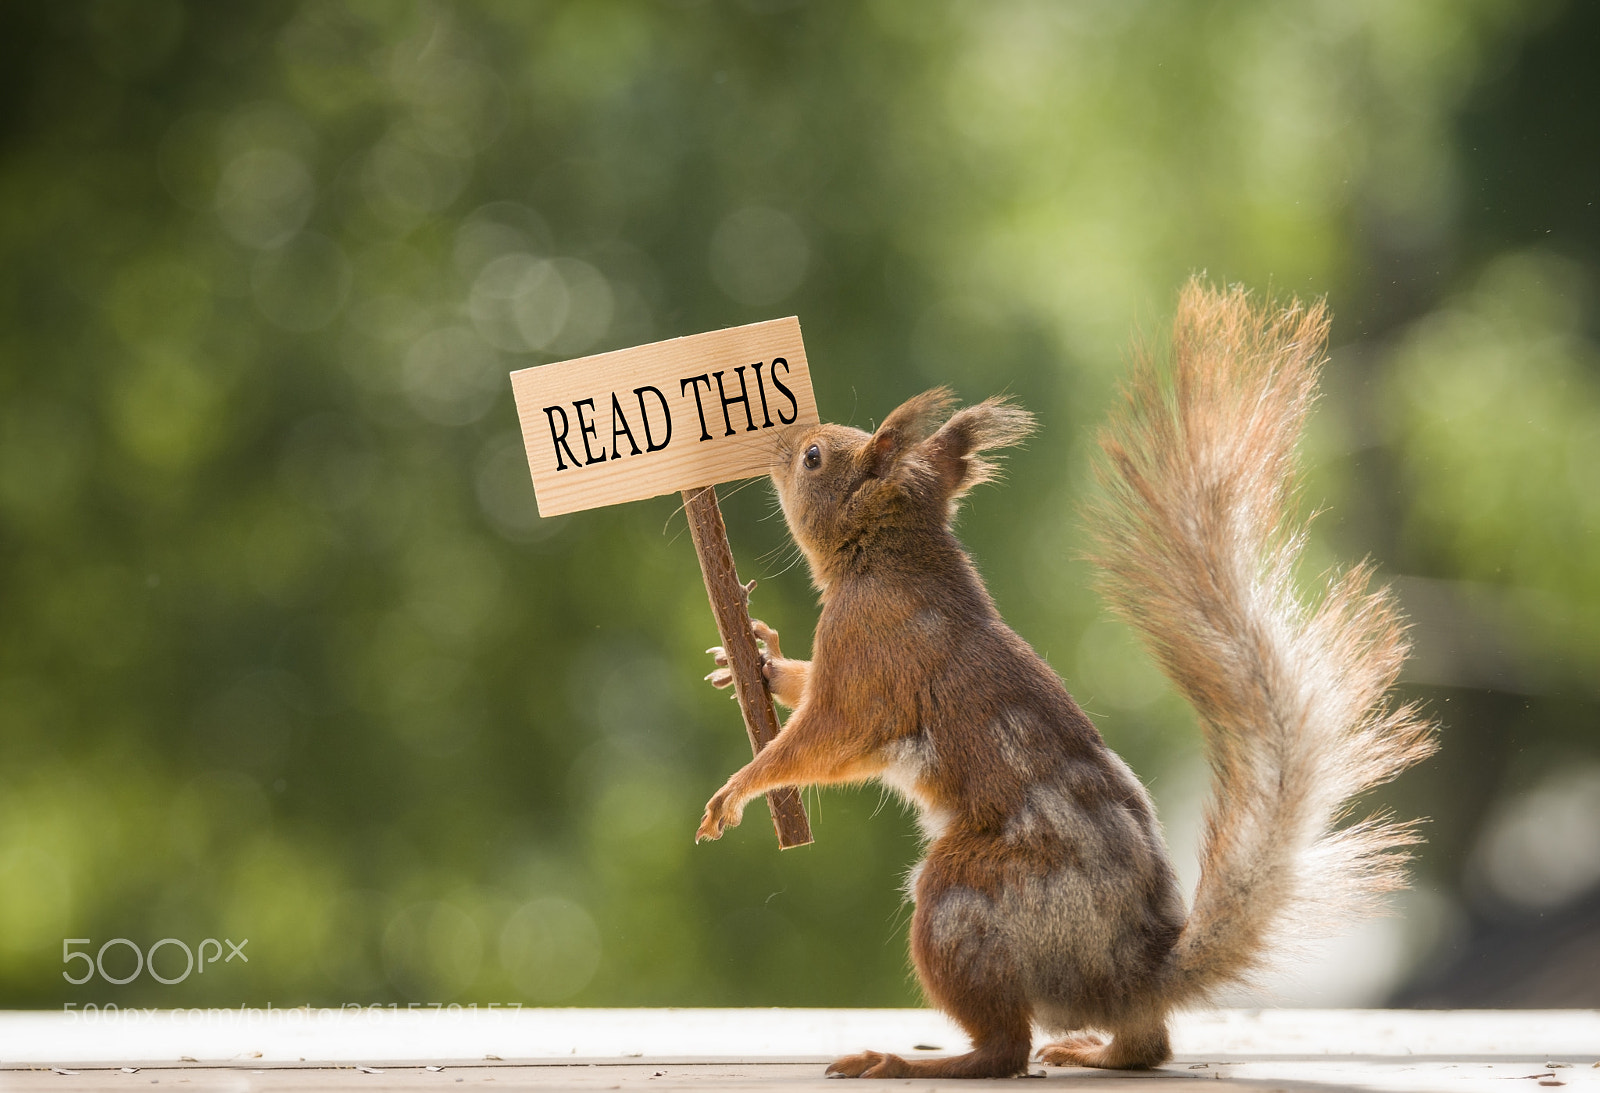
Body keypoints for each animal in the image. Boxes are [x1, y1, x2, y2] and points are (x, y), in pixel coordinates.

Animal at [696, 279, 1437, 1078]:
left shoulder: (871, 660)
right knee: (1145, 1046)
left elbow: (826, 739)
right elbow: (804, 689)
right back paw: (1099, 1052)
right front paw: (759, 660)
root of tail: (1130, 972)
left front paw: (738, 787)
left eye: (811, 456)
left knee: (1004, 1050)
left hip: (964, 899)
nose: (773, 443)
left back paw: (908, 1061)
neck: (890, 560)